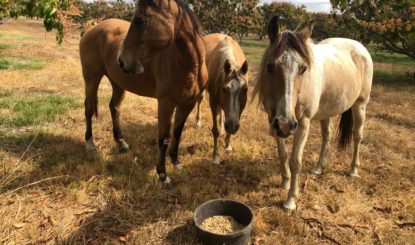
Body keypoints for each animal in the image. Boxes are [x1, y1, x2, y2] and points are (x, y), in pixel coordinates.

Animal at [79, 0, 208, 187]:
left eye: (140, 21)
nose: (121, 60)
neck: (190, 67)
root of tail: (92, 28)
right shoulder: (166, 103)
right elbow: (163, 138)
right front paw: (162, 175)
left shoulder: (188, 104)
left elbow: (177, 132)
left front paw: (176, 162)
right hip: (91, 79)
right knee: (89, 109)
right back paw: (90, 143)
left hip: (118, 83)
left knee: (114, 107)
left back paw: (121, 143)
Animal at [194, 34, 249, 165]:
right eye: (224, 89)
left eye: (245, 89)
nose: (231, 126)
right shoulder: (213, 101)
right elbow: (215, 130)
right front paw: (215, 157)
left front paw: (228, 144)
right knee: (200, 100)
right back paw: (198, 122)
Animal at [254, 16, 374, 210]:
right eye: (270, 67)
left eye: (303, 68)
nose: (286, 125)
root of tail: (359, 47)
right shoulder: (273, 119)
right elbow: (283, 153)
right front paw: (285, 182)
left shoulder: (303, 122)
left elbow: (296, 161)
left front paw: (290, 200)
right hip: (326, 111)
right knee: (327, 135)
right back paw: (319, 167)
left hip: (360, 105)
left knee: (357, 136)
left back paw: (353, 170)